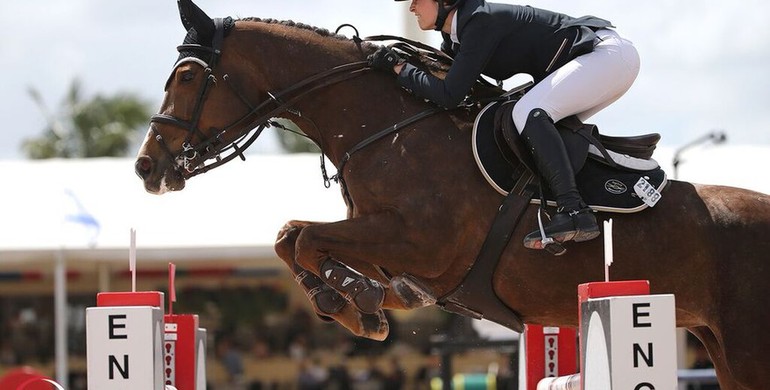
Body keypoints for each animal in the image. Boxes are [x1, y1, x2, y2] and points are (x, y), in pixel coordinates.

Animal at [136, 1, 768, 388]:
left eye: (187, 78)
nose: (147, 168)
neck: (386, 128)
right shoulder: (395, 255)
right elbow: (292, 238)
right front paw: (354, 301)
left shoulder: (420, 244)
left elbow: (303, 236)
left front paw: (350, 299)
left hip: (745, 348)